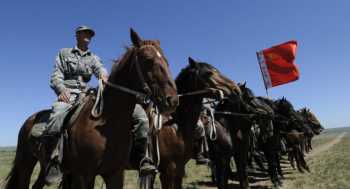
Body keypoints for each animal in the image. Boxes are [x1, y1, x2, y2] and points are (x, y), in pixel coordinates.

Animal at [5, 28, 179, 189]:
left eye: (166, 61)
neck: (108, 121)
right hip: (26, 164)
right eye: (148, 59)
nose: (172, 100)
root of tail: (29, 120)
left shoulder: (114, 173)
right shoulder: (84, 175)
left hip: (43, 168)